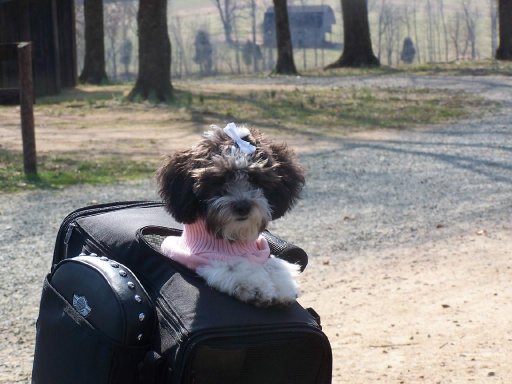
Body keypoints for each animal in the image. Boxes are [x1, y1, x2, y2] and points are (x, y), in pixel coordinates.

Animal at [157, 123, 304, 306]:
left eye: (254, 179)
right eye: (219, 181)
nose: (243, 206)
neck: (234, 238)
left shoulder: (262, 252)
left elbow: (274, 264)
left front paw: (283, 284)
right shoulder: (203, 259)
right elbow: (234, 265)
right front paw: (257, 286)